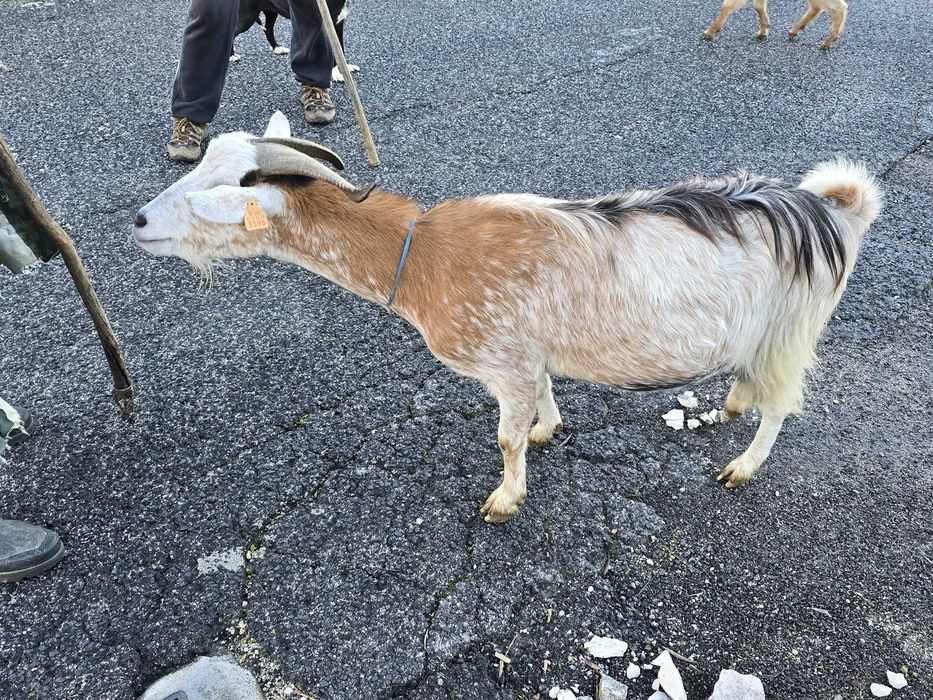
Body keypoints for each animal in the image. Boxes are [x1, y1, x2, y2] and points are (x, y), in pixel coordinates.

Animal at [133, 112, 882, 523]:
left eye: (219, 192)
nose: (138, 221)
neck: (422, 255)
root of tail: (829, 210)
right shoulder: (526, 353)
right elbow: (541, 399)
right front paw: (549, 429)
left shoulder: (502, 360)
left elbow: (505, 438)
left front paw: (503, 500)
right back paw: (732, 402)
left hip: (791, 327)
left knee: (782, 403)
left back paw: (742, 465)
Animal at [703, 0, 848, 49]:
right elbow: (758, 6)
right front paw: (763, 30)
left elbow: (727, 6)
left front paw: (710, 32)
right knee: (817, 7)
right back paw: (795, 30)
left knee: (840, 7)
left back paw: (829, 40)